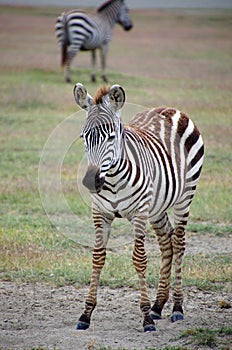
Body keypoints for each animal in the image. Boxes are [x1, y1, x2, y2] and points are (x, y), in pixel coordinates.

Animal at [73, 82, 205, 334]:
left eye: (111, 137)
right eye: (84, 136)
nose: (91, 182)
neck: (113, 178)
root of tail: (170, 109)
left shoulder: (139, 213)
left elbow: (139, 258)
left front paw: (145, 318)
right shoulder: (100, 214)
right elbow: (97, 257)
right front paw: (86, 314)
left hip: (185, 195)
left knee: (178, 242)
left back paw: (177, 308)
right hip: (158, 206)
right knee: (166, 242)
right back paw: (158, 305)